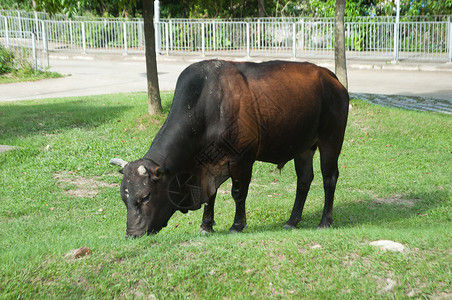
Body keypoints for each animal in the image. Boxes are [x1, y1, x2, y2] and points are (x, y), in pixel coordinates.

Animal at [110, 59, 350, 238]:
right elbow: (211, 195)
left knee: (329, 177)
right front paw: (206, 226)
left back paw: (324, 221)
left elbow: (238, 192)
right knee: (304, 180)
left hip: (331, 139)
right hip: (303, 147)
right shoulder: (207, 167)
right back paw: (292, 221)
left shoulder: (241, 158)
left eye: (146, 197)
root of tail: (330, 76)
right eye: (124, 198)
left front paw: (237, 225)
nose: (132, 234)